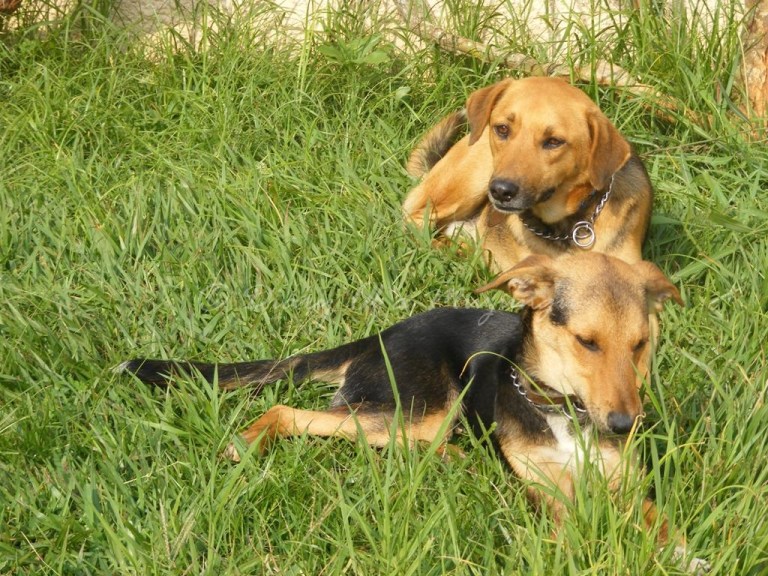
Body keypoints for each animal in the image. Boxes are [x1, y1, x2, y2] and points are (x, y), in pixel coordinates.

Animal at [121, 253, 696, 548]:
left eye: (639, 345)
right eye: (586, 342)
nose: (624, 424)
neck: (562, 410)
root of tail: (380, 335)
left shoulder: (627, 483)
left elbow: (659, 520)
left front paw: (682, 552)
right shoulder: (552, 494)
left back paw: (459, 461)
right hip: (415, 409)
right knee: (292, 412)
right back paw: (246, 440)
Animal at [404, 76, 652, 272]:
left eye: (554, 141)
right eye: (502, 129)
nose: (500, 191)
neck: (568, 226)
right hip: (469, 182)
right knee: (415, 221)